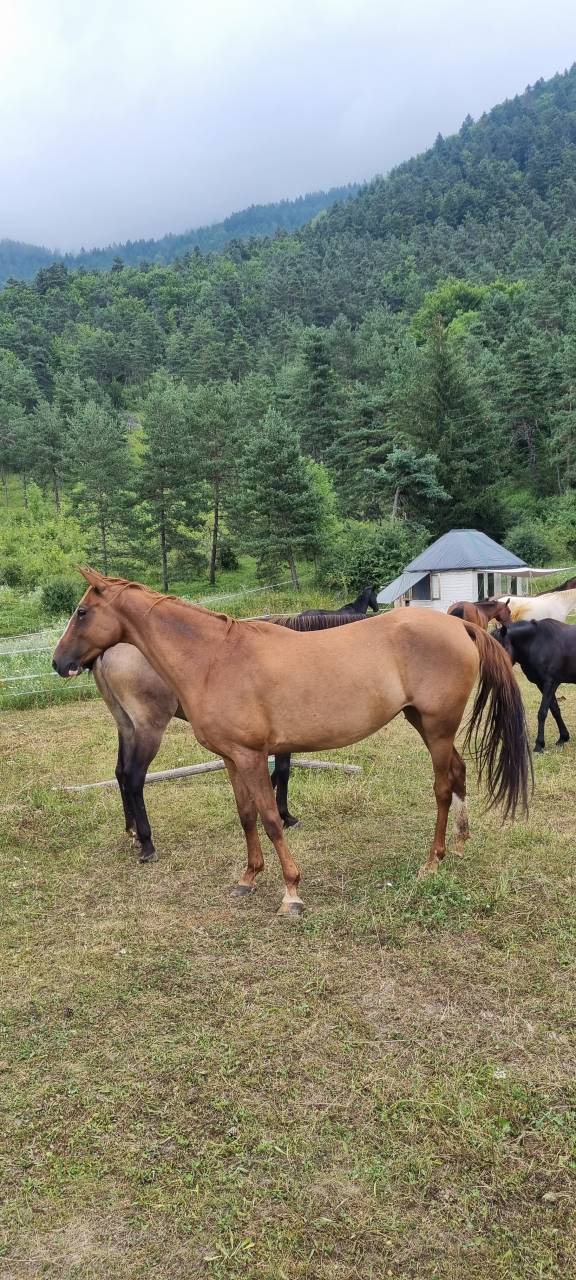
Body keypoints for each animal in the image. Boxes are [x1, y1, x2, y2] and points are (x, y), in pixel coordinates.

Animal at [92, 609, 369, 863]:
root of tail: (108, 652)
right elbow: (283, 771)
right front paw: (285, 815)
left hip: (127, 726)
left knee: (120, 772)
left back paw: (133, 832)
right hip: (149, 729)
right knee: (134, 778)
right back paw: (148, 843)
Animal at [494, 619, 576, 752]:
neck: (536, 643)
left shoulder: (550, 683)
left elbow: (542, 713)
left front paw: (539, 744)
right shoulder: (541, 685)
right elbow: (555, 710)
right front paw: (563, 738)